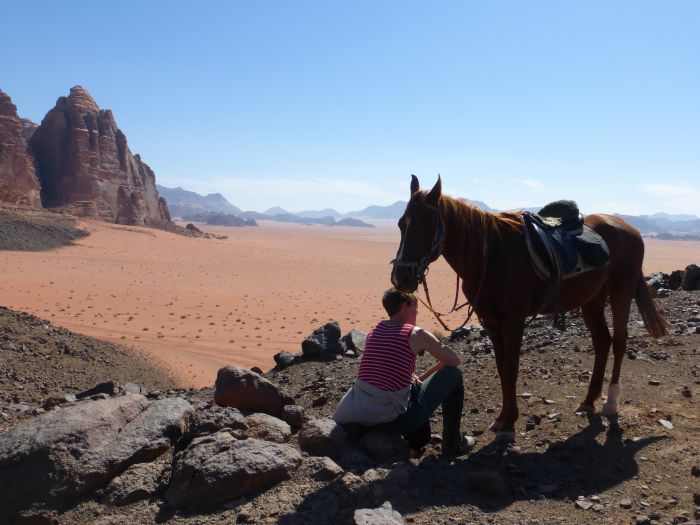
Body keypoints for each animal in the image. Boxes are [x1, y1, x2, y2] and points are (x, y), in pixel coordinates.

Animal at [392, 176, 668, 442]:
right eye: (401, 224)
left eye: (427, 225)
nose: (400, 277)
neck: (489, 256)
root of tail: (630, 230)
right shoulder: (491, 322)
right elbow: (502, 369)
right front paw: (501, 419)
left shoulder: (513, 320)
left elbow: (511, 369)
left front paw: (509, 425)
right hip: (592, 300)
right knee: (602, 342)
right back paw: (589, 401)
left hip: (621, 291)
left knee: (620, 341)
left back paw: (610, 403)